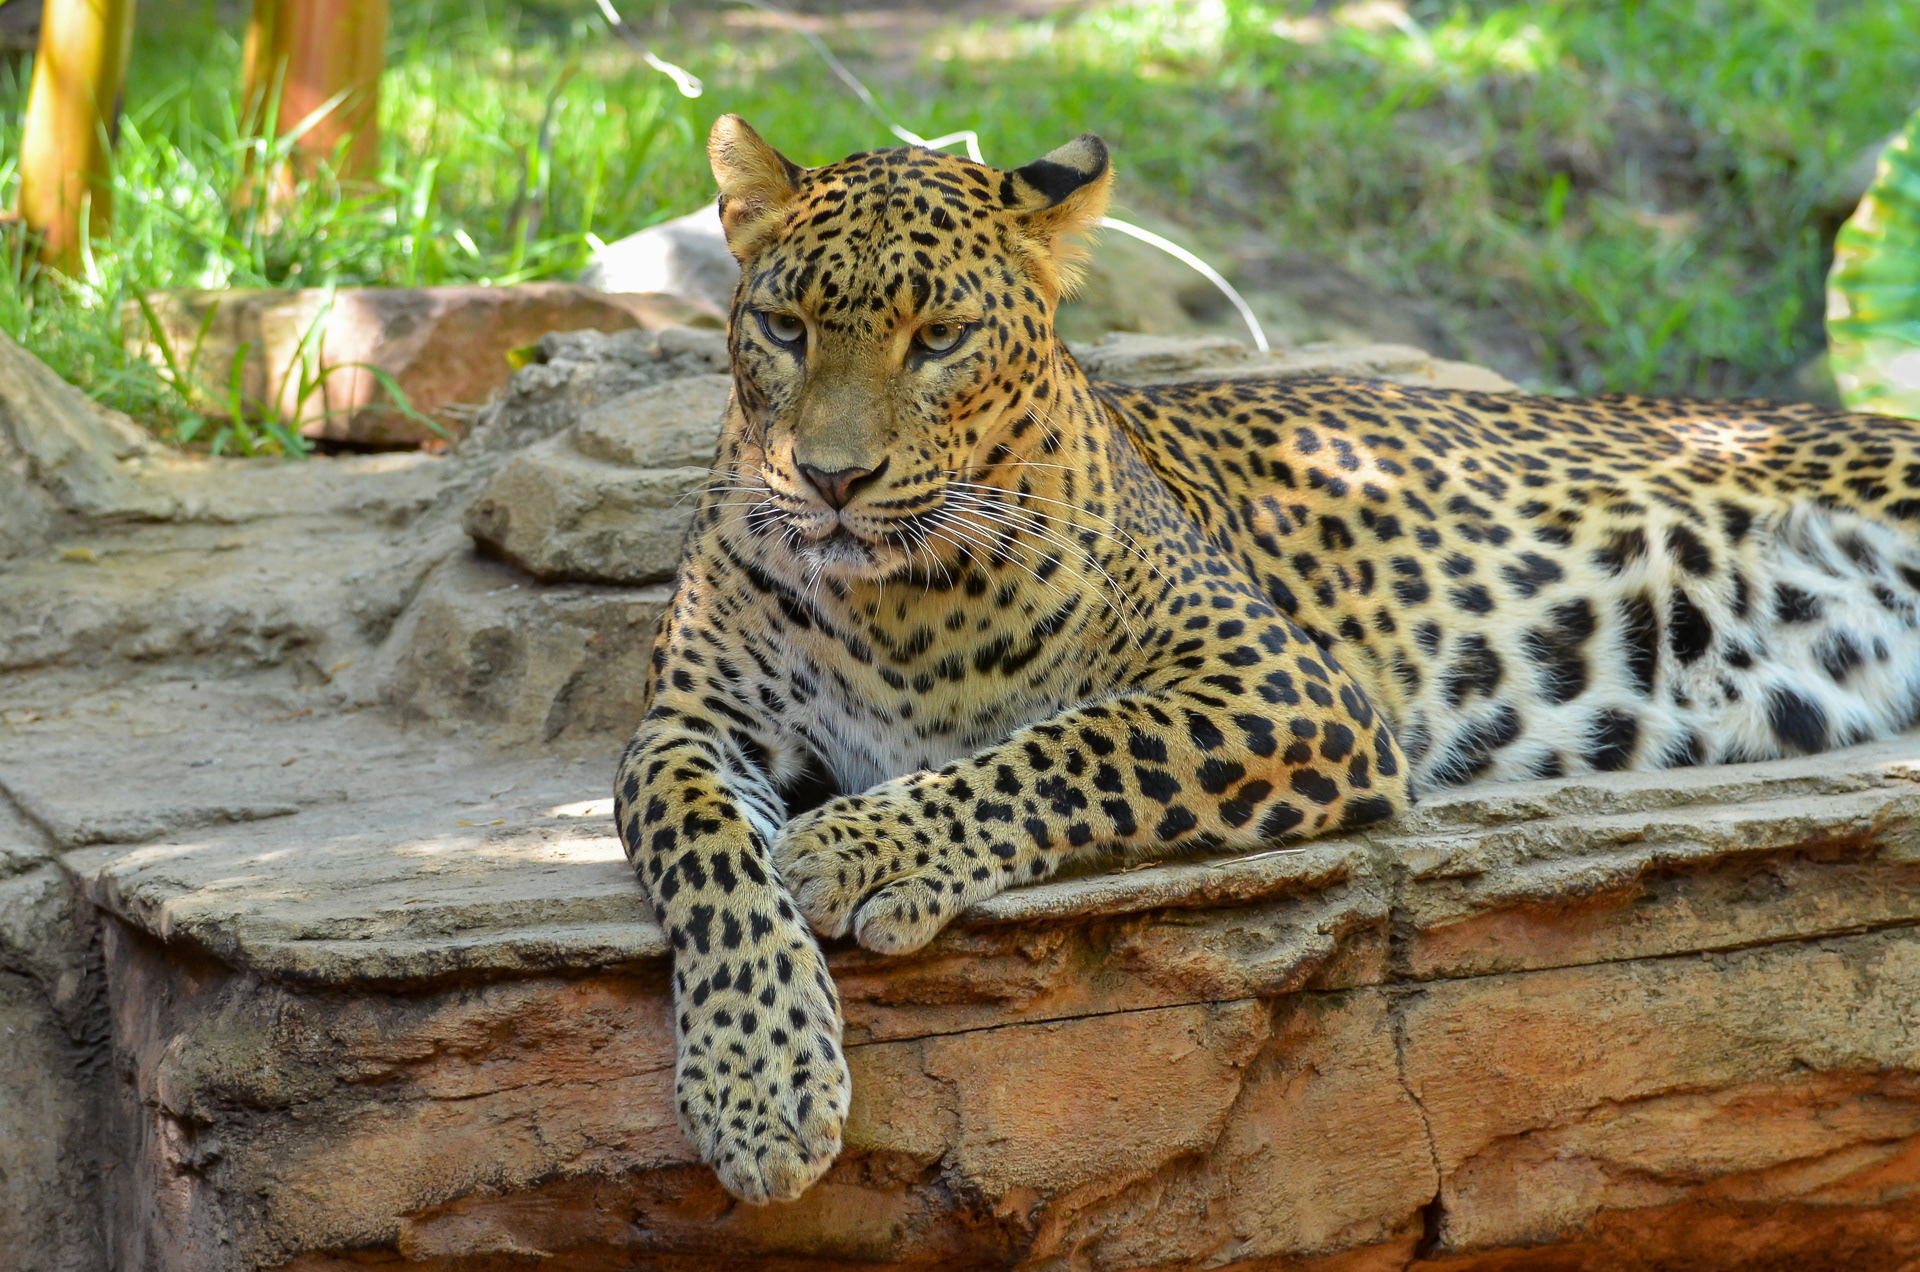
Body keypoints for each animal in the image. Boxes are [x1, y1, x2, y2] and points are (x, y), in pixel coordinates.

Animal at [612, 113, 1920, 1204]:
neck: (892, 604)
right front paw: (757, 1087)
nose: (830, 479)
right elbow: (709, 862)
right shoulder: (688, 726)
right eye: (782, 328)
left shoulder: (1280, 686)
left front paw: (860, 847)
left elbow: (1064, 747)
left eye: (938, 339)